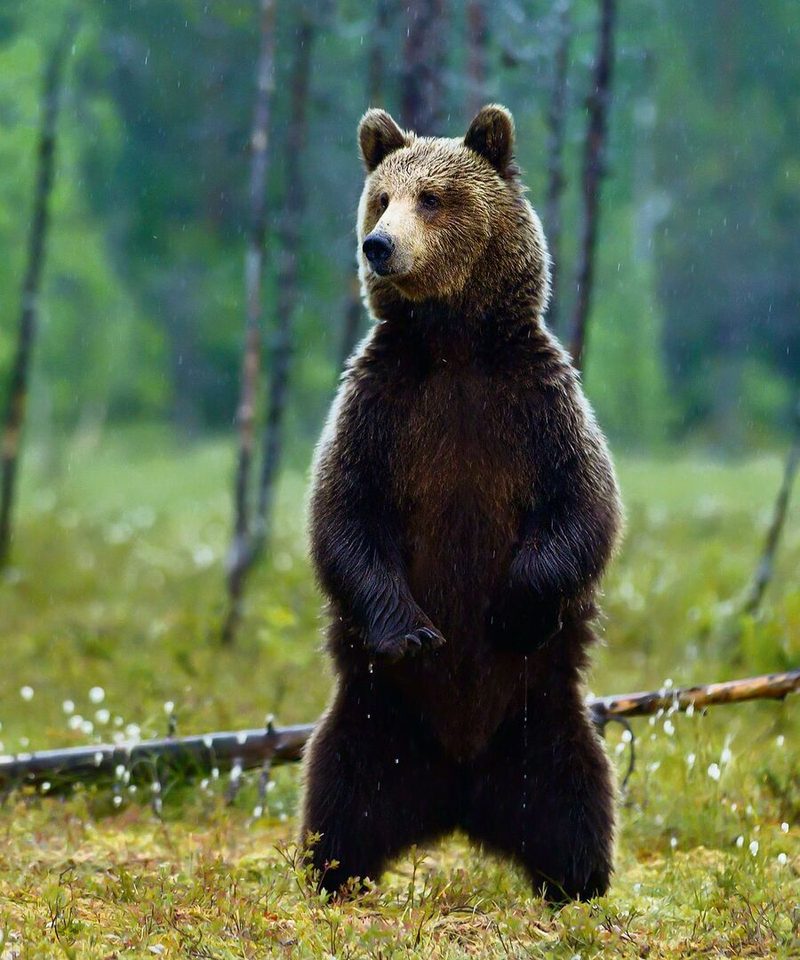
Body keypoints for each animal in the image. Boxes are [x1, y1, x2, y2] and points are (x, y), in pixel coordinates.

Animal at [300, 104, 622, 903]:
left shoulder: (534, 405)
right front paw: (416, 632)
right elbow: (344, 516)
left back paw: (578, 882)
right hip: (374, 721)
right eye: (381, 198)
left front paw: (511, 608)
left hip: (543, 720)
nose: (379, 246)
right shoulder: (382, 407)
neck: (452, 345)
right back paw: (331, 875)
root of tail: (458, 792)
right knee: (337, 796)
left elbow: (583, 508)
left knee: (577, 798)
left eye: (433, 198)